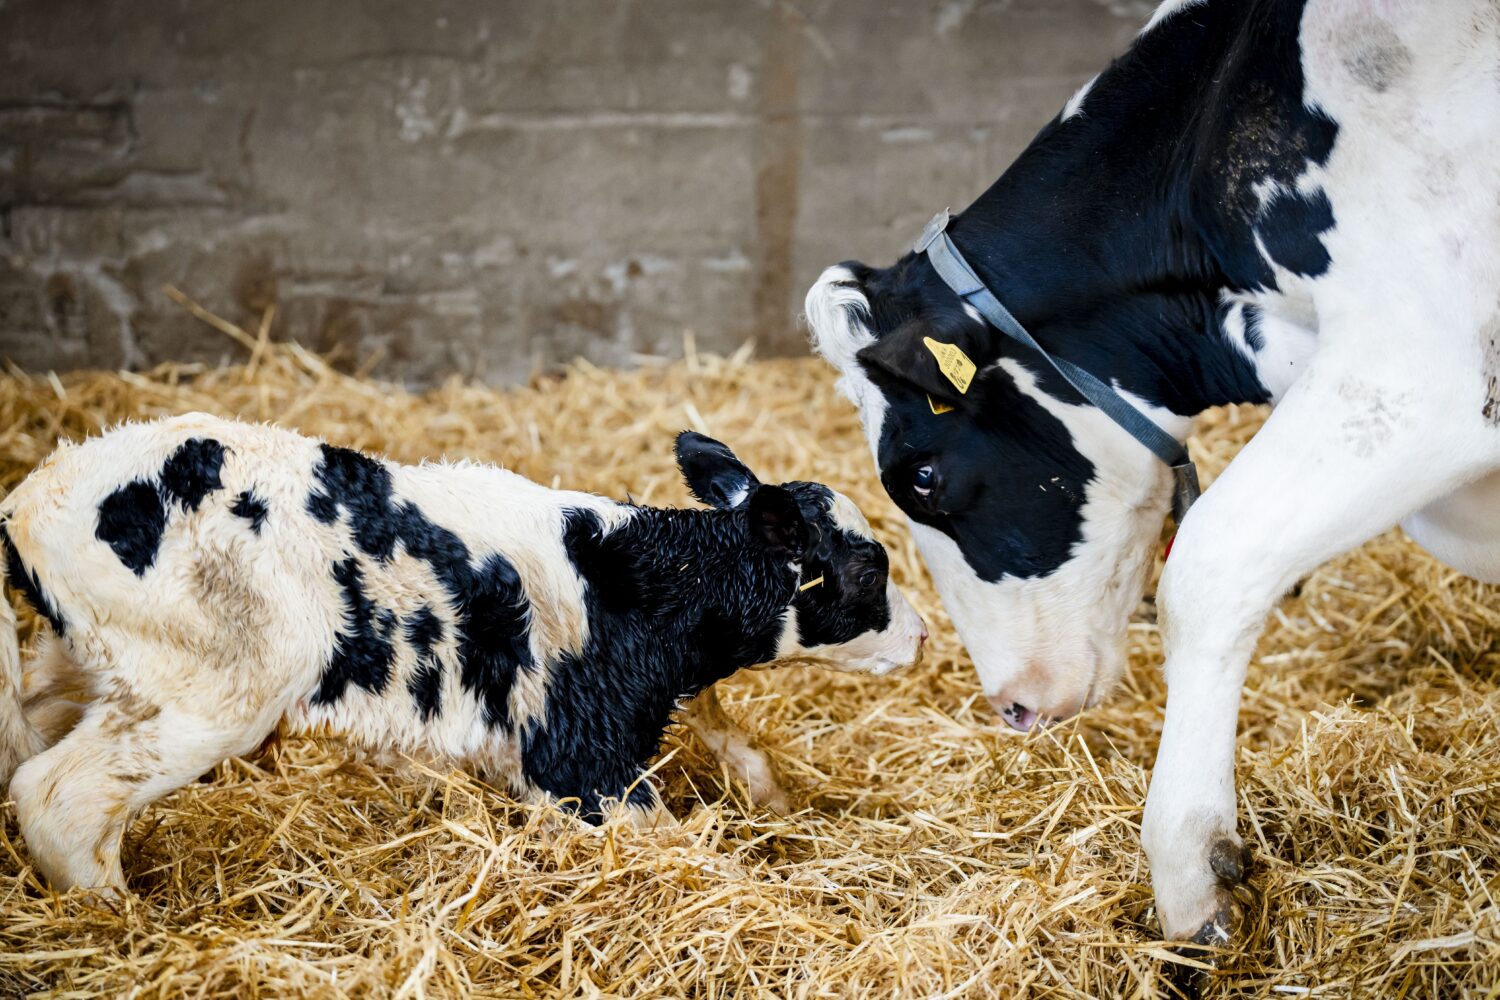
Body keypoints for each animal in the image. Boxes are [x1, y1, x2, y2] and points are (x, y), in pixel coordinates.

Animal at [0, 414, 926, 893]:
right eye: (866, 569)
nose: (920, 634)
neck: (642, 587)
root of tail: (34, 500)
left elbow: (739, 743)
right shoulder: (580, 759)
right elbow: (674, 843)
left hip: (91, 667)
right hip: (212, 689)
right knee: (58, 795)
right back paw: (121, 918)